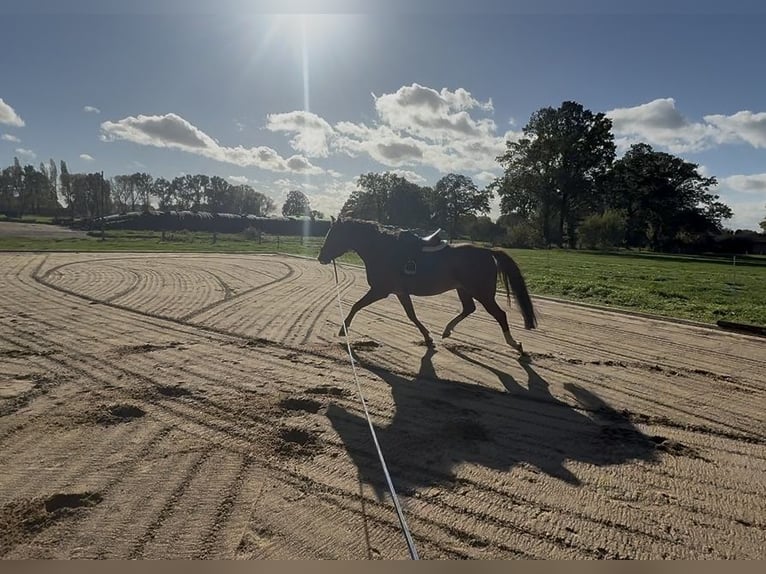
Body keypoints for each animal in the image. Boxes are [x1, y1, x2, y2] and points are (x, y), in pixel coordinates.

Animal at [317, 217, 537, 353]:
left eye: (334, 235)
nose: (321, 257)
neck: (384, 250)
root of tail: (488, 252)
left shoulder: (381, 290)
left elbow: (357, 305)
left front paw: (343, 328)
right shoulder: (400, 292)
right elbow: (411, 315)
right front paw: (428, 337)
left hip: (482, 293)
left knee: (500, 315)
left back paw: (514, 344)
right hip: (464, 290)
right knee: (469, 309)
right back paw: (447, 330)